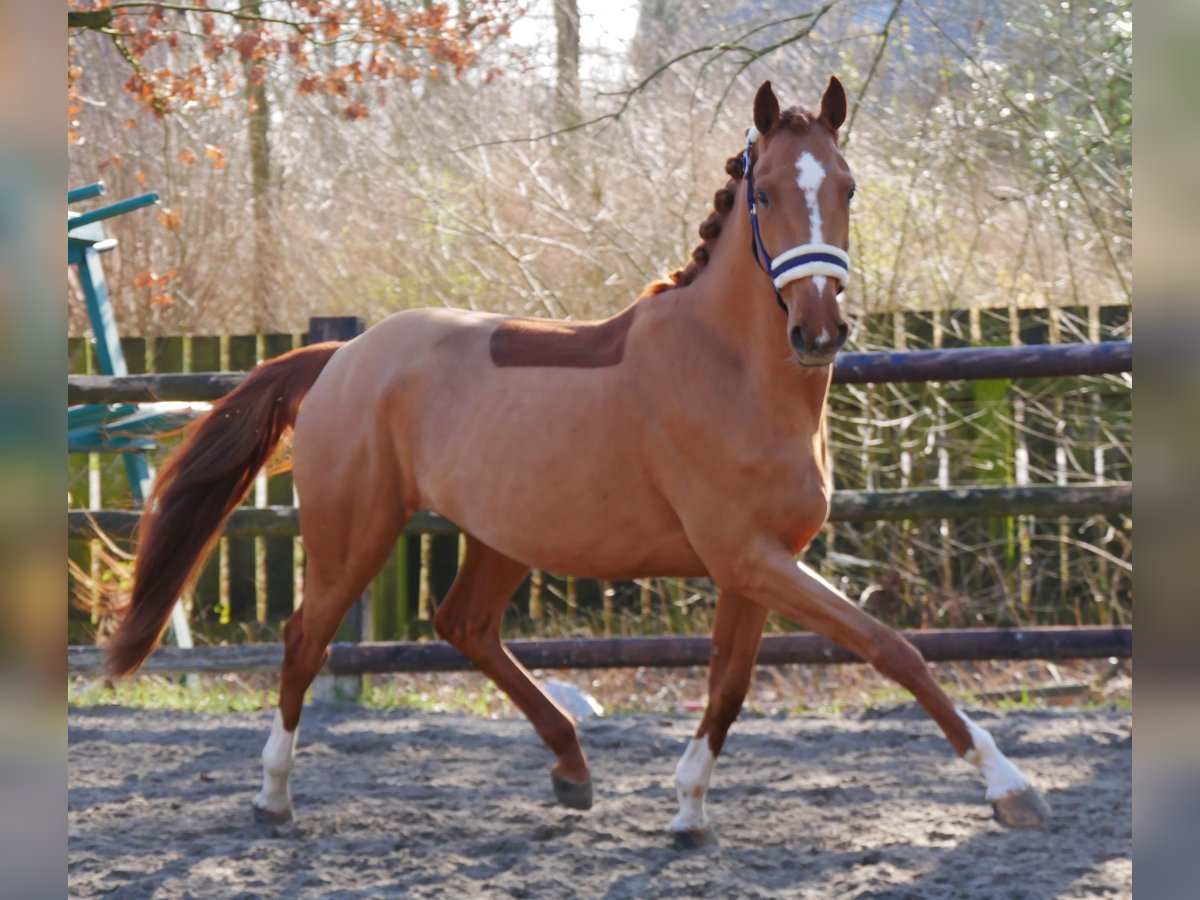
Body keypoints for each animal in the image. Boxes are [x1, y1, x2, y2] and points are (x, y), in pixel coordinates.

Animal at [110, 77, 1051, 844]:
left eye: (848, 186)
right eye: (769, 191)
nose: (818, 331)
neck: (734, 372)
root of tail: (344, 356)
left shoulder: (752, 566)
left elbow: (729, 686)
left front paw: (688, 812)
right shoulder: (750, 558)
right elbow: (891, 648)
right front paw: (1009, 787)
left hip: (501, 536)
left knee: (464, 626)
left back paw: (572, 767)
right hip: (355, 533)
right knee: (306, 638)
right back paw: (273, 798)